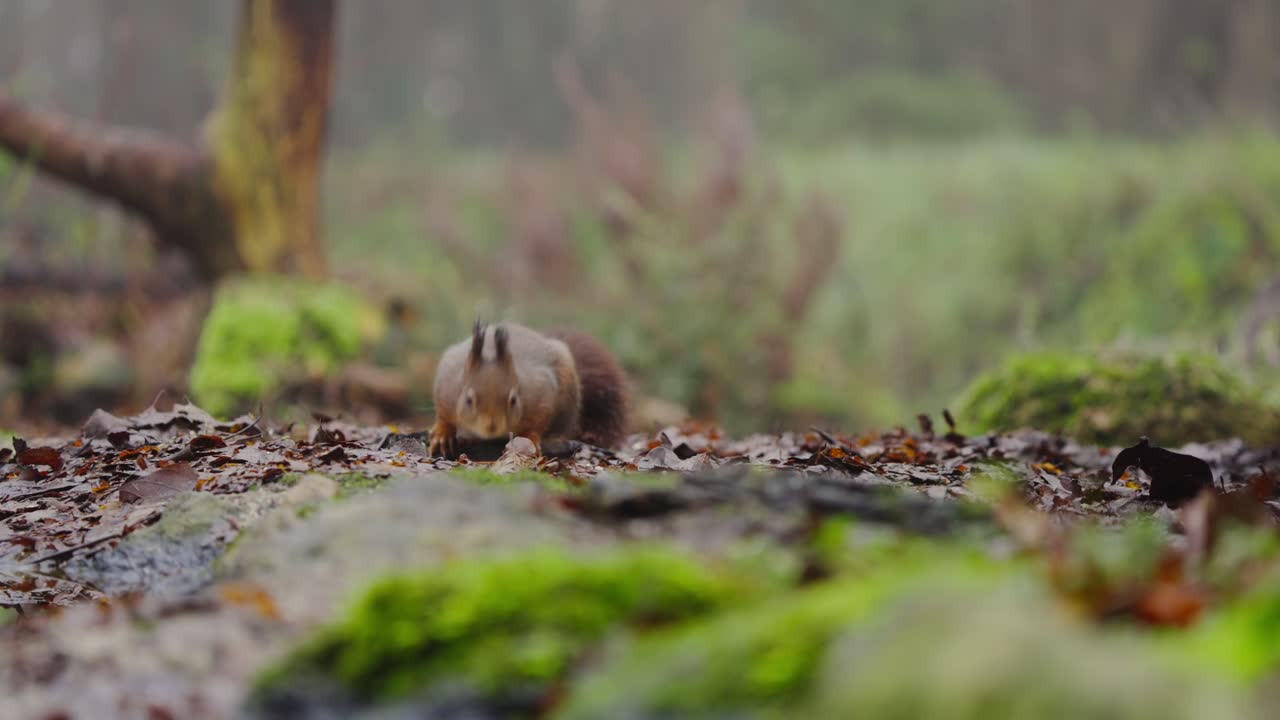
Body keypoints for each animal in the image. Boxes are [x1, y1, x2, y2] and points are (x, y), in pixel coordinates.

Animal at [428, 320, 629, 458]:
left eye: (513, 400)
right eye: (468, 400)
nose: (491, 427)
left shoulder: (541, 394)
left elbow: (538, 421)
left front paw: (530, 438)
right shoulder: (447, 385)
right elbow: (444, 415)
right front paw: (443, 434)